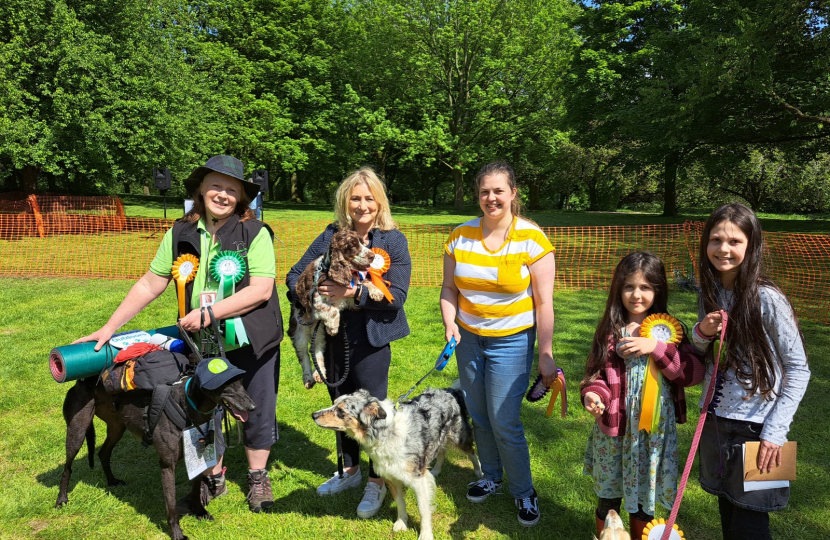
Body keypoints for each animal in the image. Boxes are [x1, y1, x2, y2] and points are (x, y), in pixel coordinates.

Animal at [312, 388, 484, 540]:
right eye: (334, 403)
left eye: (341, 411)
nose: (313, 415)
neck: (386, 433)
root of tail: (452, 391)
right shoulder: (390, 476)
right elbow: (400, 502)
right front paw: (402, 523)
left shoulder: (418, 480)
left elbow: (423, 509)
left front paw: (426, 534)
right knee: (441, 451)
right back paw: (436, 470)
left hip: (459, 437)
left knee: (472, 453)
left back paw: (479, 472)